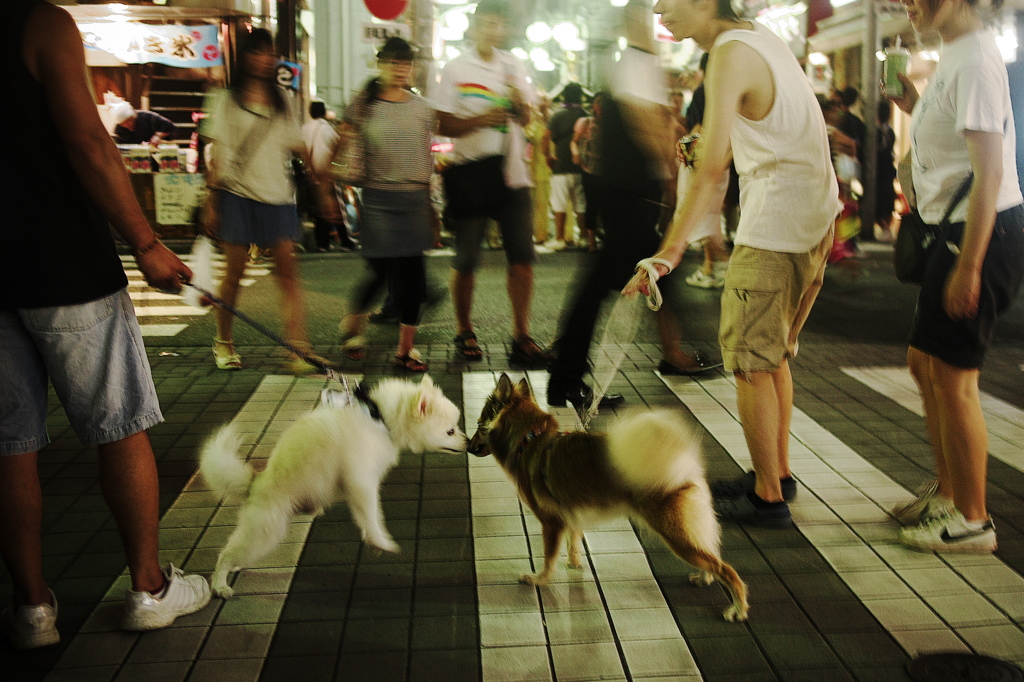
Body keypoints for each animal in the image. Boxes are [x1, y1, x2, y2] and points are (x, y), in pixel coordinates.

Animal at [196, 372, 468, 593]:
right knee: (226, 554)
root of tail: (255, 483)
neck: (380, 418)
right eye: (450, 431)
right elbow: (372, 515)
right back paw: (220, 585)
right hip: (265, 532)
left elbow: (366, 516)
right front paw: (381, 541)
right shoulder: (362, 481)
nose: (469, 443)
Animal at [468, 374, 749, 618]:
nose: (468, 447)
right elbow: (573, 542)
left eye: (479, 425)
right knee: (711, 556)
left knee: (726, 569)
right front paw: (574, 564)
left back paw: (737, 609)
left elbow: (549, 557)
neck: (530, 439)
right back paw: (704, 578)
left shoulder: (551, 522)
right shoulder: (569, 516)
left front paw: (539, 579)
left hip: (675, 534)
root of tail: (684, 466)